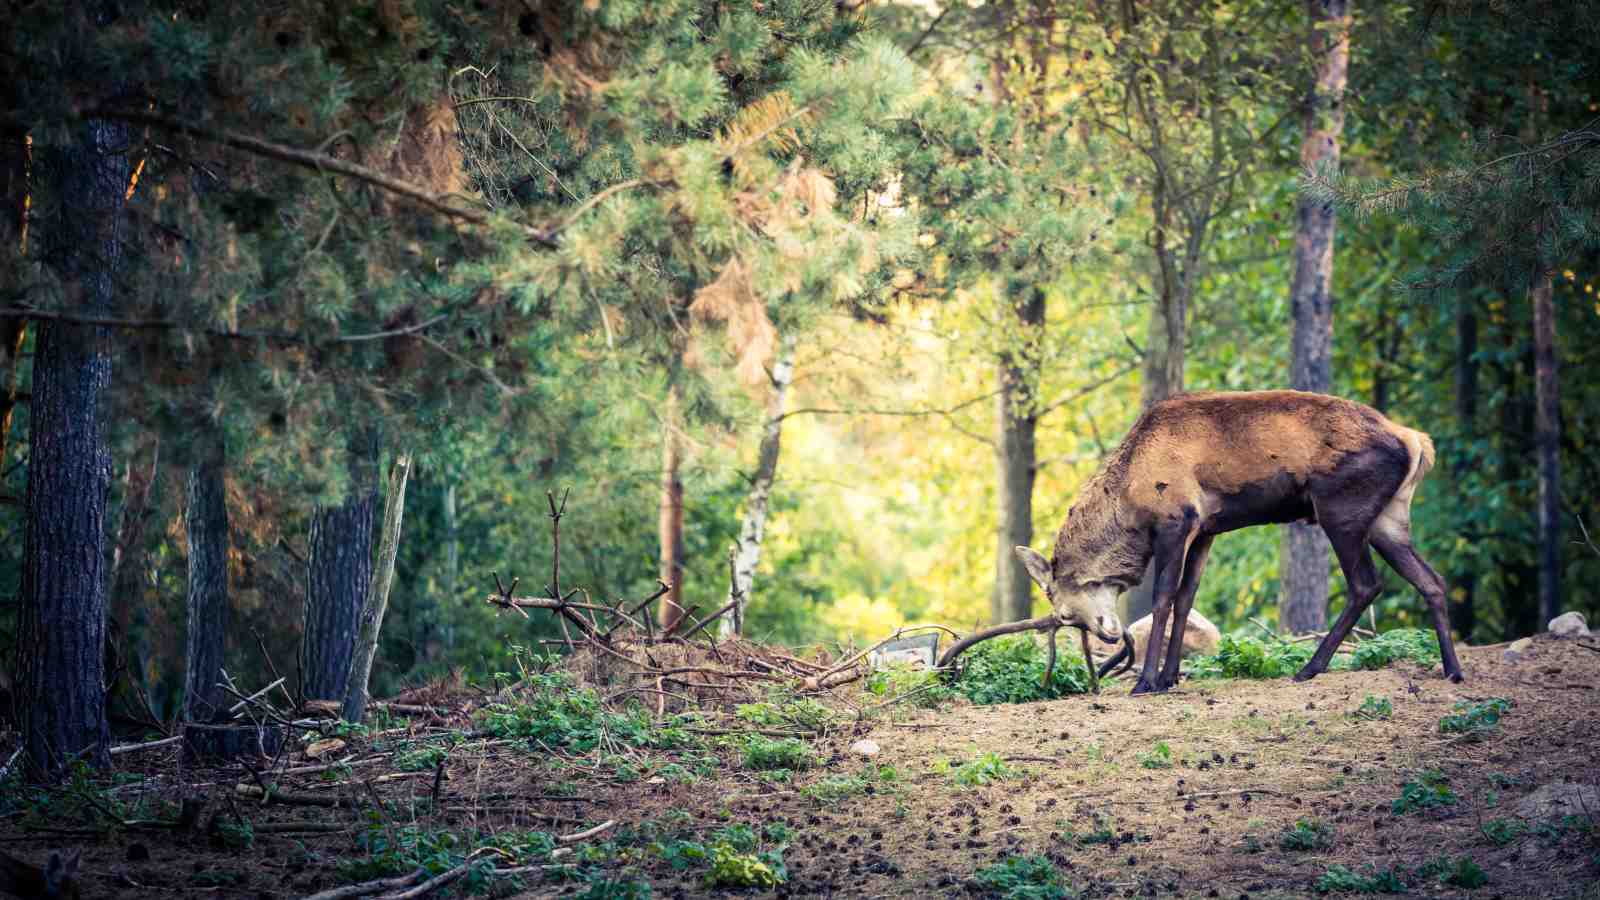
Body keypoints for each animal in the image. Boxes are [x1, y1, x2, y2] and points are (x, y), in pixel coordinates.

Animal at [1014, 390, 1464, 695]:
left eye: (1065, 613)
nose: (1108, 635)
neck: (1129, 501)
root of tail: (1416, 441)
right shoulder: (1205, 530)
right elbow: (1187, 599)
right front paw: (1170, 677)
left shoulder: (1177, 520)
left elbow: (1163, 598)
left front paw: (1146, 681)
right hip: (1390, 519)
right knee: (1432, 580)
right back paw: (1452, 669)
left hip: (1342, 509)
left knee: (1366, 584)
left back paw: (1310, 667)